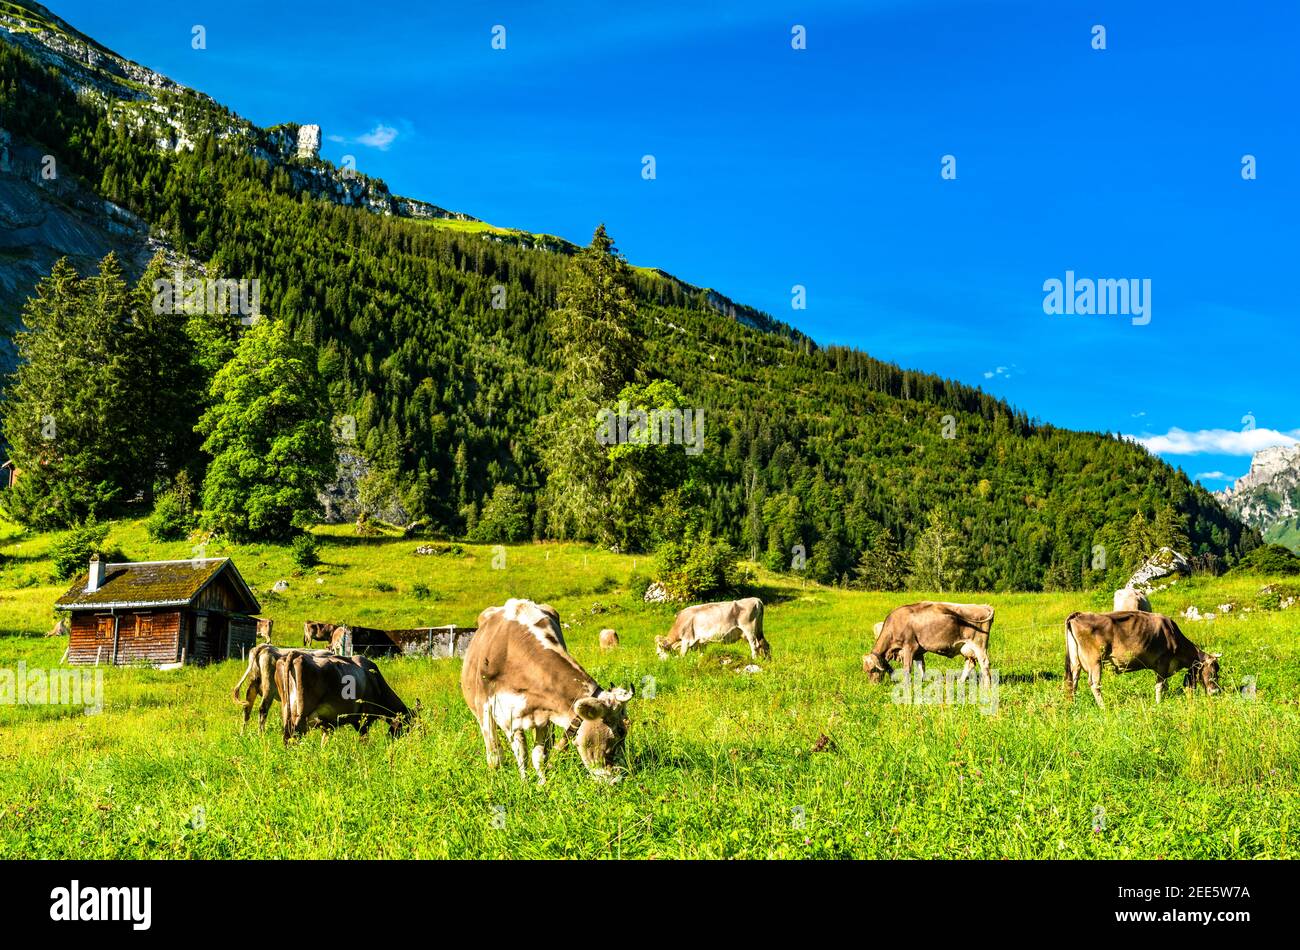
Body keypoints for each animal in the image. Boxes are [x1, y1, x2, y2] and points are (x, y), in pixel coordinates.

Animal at [275, 654, 410, 743]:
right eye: (409, 724)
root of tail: (296, 655)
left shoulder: (327, 724)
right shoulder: (363, 719)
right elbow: (364, 740)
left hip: (287, 711)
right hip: (301, 715)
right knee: (293, 736)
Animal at [462, 603, 634, 790]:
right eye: (621, 731)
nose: (619, 779)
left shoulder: (544, 714)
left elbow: (538, 755)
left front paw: (542, 784)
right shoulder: (491, 710)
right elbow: (501, 755)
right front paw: (520, 785)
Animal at [863, 605, 993, 686]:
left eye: (872, 669)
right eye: (866, 671)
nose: (873, 685)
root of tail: (984, 606)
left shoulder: (910, 647)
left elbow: (907, 668)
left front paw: (907, 684)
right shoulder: (918, 651)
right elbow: (921, 667)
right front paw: (922, 682)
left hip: (979, 645)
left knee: (984, 663)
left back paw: (987, 687)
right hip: (965, 648)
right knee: (970, 664)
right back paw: (960, 682)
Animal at [1066, 608, 1216, 706]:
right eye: (1215, 670)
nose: (1215, 691)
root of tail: (1078, 615)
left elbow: (1164, 684)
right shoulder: (1164, 661)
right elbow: (1160, 685)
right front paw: (1159, 702)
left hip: (1075, 662)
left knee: (1073, 681)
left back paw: (1073, 704)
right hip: (1094, 662)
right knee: (1094, 684)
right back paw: (1103, 707)